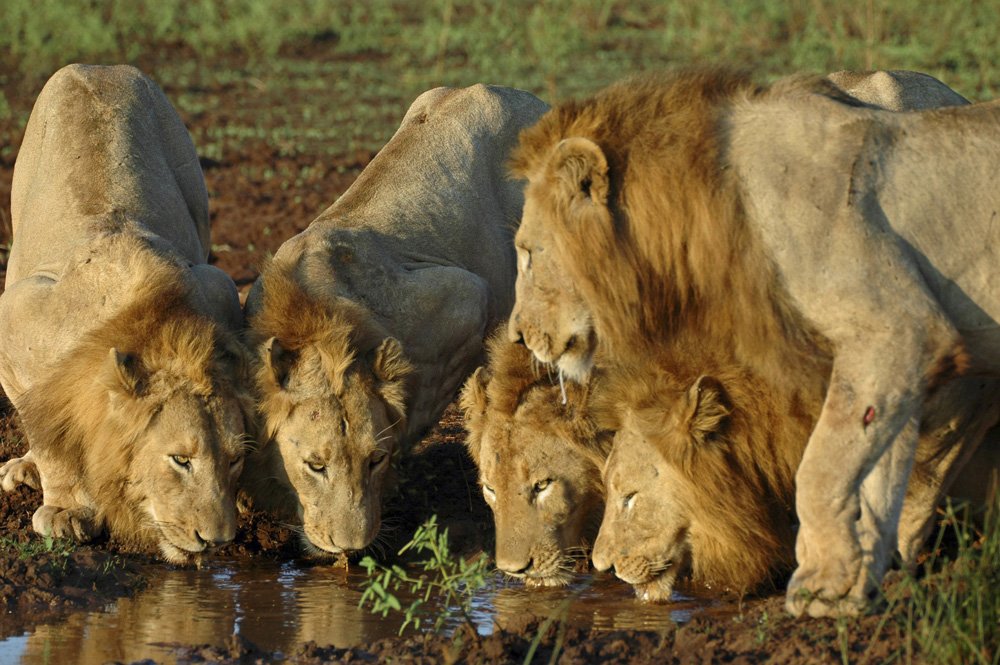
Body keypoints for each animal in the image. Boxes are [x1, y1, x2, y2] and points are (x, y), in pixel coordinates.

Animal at [0, 63, 254, 560]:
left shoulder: (218, 287)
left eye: (234, 460)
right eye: (180, 459)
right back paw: (24, 470)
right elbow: (48, 433)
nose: (217, 541)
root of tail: (96, 66)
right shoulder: (13, 322)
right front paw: (66, 509)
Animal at [508, 70, 1000, 616]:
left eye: (528, 253)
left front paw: (824, 586)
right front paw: (858, 583)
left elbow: (830, 471)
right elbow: (878, 477)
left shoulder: (900, 330)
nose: (516, 335)